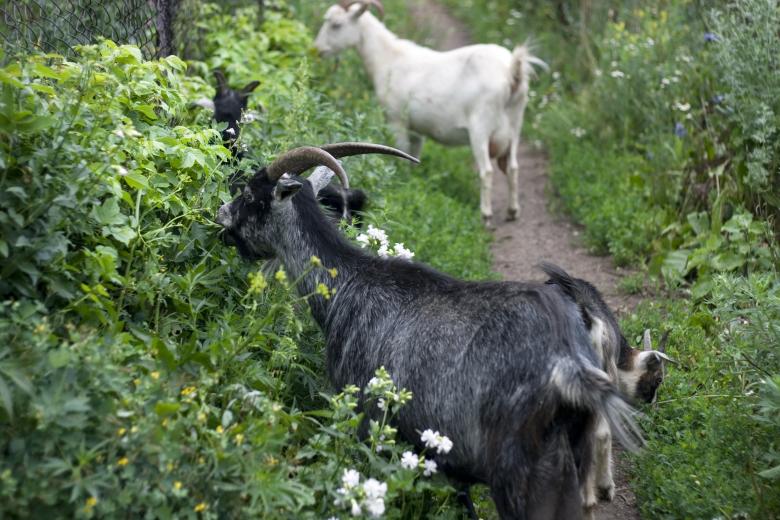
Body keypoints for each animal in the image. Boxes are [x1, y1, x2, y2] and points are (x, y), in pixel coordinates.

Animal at [216, 143, 644, 519]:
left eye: (251, 195)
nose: (222, 217)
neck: (350, 285)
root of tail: (568, 364)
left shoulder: (369, 417)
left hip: (521, 473)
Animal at [314, 0, 547, 226]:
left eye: (336, 24)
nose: (317, 50)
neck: (389, 59)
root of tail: (512, 72)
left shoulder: (396, 120)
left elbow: (401, 154)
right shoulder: (416, 130)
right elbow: (412, 157)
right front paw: (409, 180)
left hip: (481, 127)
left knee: (487, 171)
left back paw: (486, 215)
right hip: (515, 126)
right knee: (513, 168)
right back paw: (512, 211)